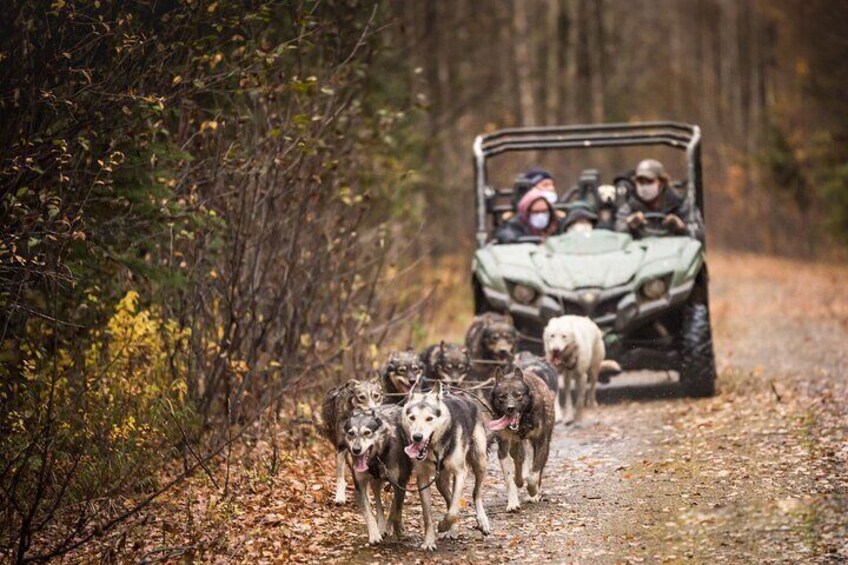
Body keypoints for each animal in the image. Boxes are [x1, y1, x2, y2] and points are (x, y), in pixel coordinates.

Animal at [342, 406, 412, 548]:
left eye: (367, 432)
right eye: (351, 433)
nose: (356, 450)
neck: (376, 459)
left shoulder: (400, 482)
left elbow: (397, 510)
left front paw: (399, 530)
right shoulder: (360, 486)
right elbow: (369, 513)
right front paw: (374, 534)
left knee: (394, 506)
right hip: (376, 482)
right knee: (379, 503)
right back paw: (382, 526)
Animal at [402, 382, 490, 548]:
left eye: (429, 418)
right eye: (412, 418)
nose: (417, 437)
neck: (435, 449)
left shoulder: (460, 473)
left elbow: (454, 510)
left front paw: (443, 525)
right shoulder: (422, 478)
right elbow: (428, 514)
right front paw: (429, 540)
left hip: (479, 461)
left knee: (476, 493)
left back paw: (482, 521)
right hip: (440, 481)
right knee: (449, 499)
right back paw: (452, 530)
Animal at [484, 366, 556, 512]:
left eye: (518, 395)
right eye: (502, 397)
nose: (510, 408)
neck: (523, 420)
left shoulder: (542, 443)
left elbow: (534, 475)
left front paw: (533, 492)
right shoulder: (503, 447)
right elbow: (509, 479)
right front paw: (512, 503)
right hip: (516, 445)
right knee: (519, 459)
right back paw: (519, 479)